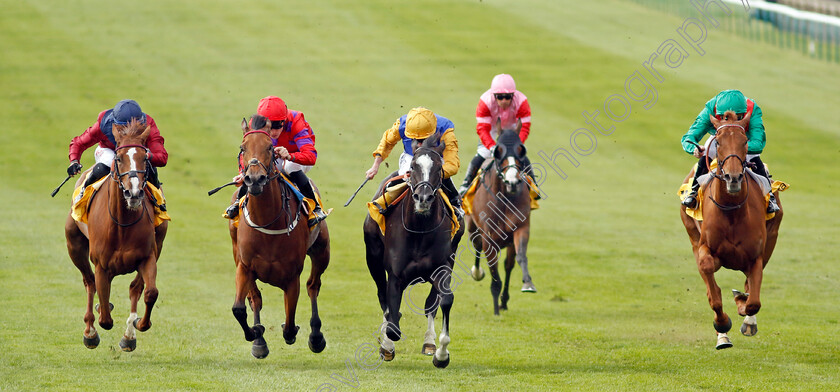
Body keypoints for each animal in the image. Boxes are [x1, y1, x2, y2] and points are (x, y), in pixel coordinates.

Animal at [63, 118, 167, 350]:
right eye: (119, 158)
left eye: (144, 158)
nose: (134, 192)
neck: (123, 225)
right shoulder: (101, 265)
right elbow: (104, 315)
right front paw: (99, 319)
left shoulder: (148, 257)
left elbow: (149, 292)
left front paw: (138, 325)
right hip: (74, 244)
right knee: (89, 282)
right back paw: (90, 332)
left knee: (135, 288)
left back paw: (129, 335)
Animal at [233, 113, 334, 358]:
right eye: (243, 147)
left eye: (270, 147)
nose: (254, 179)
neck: (267, 219)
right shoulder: (244, 265)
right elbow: (239, 308)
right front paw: (256, 333)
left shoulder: (291, 276)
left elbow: (289, 325)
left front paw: (298, 332)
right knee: (255, 299)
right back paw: (259, 340)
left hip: (322, 251)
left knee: (313, 286)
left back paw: (316, 337)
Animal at [362, 134, 466, 368]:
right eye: (413, 166)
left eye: (440, 167)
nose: (423, 198)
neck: (420, 229)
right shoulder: (395, 275)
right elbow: (393, 322)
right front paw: (387, 347)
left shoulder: (443, 267)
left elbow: (443, 301)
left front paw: (441, 354)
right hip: (372, 258)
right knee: (383, 298)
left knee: (430, 305)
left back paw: (429, 343)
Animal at [462, 125, 536, 316]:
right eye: (498, 152)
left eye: (521, 151)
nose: (512, 182)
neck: (504, 199)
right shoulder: (488, 238)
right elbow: (494, 272)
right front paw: (496, 309)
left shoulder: (521, 228)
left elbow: (520, 257)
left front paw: (527, 283)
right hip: (472, 228)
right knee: (477, 247)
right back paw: (477, 272)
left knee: (508, 265)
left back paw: (504, 300)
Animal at [680, 109, 784, 350]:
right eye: (718, 141)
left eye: (745, 141)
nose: (733, 177)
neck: (732, 212)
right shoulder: (704, 248)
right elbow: (712, 288)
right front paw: (722, 325)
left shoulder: (756, 256)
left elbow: (753, 301)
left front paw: (744, 310)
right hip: (692, 233)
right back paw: (723, 335)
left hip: (772, 238)